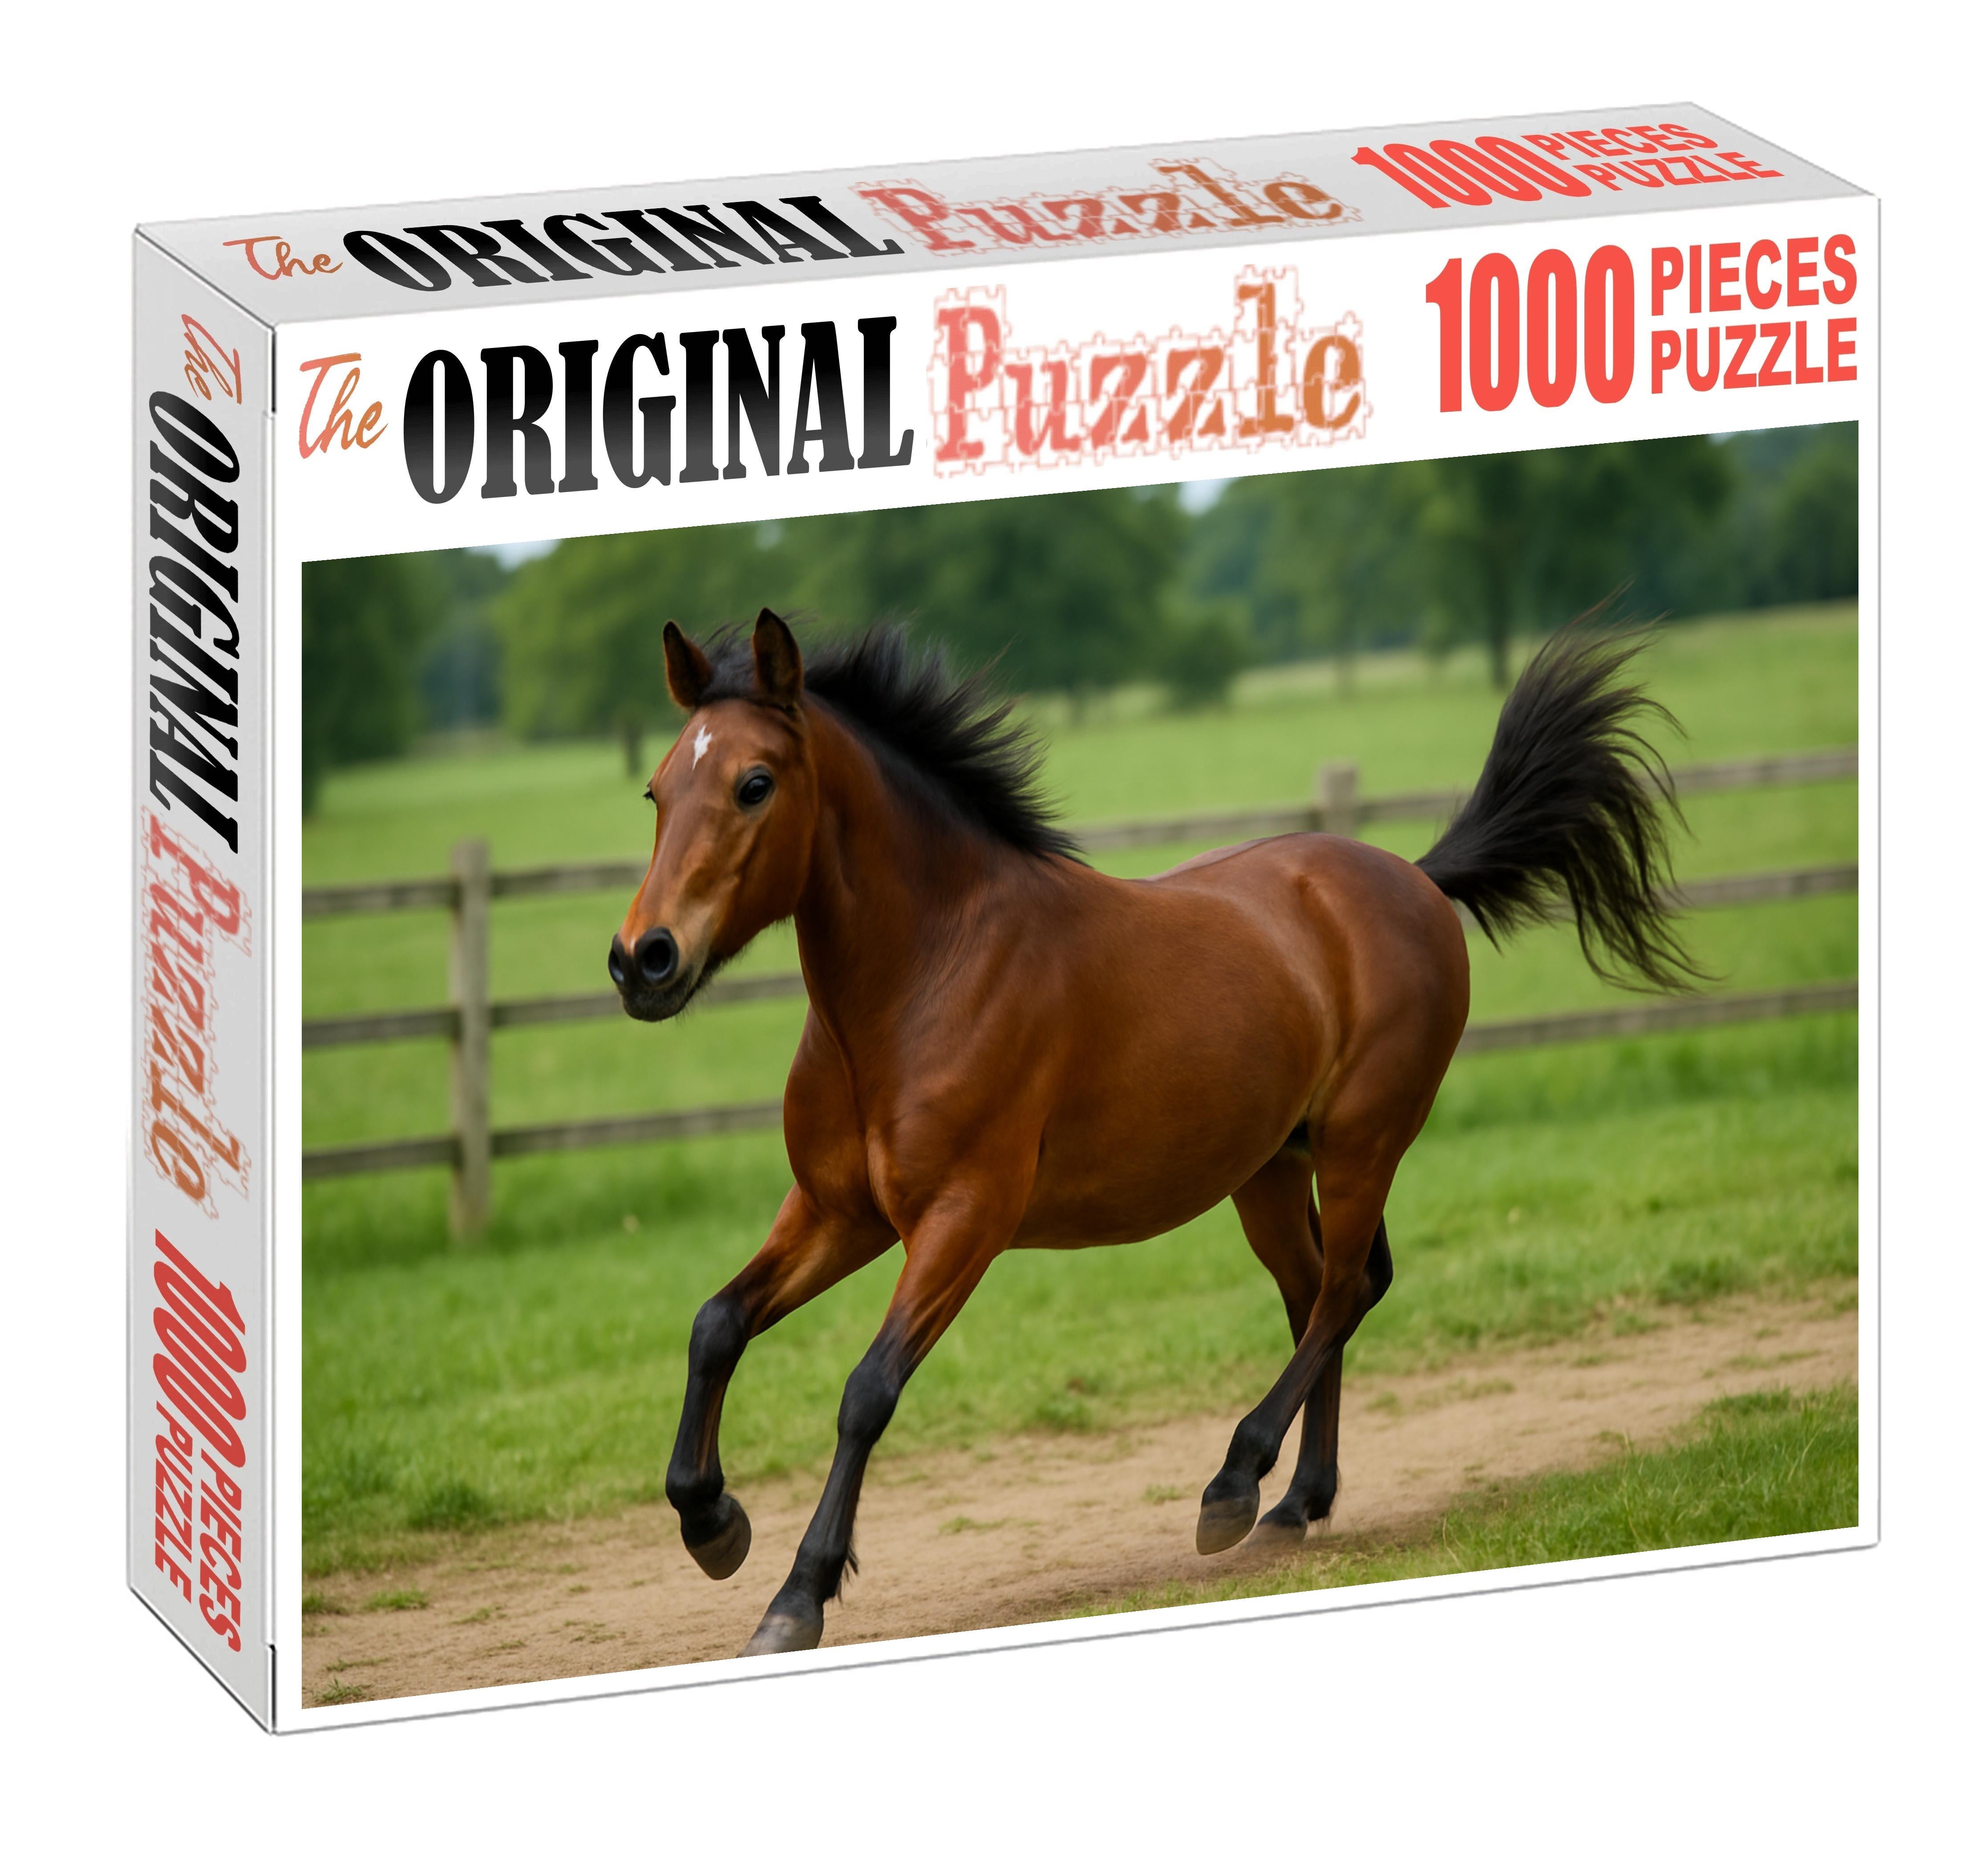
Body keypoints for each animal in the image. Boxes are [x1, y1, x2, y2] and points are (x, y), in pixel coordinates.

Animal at [609, 609, 1698, 1655]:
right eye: (658, 789)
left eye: (754, 784)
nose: (641, 961)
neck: (923, 978)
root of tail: (1416, 879)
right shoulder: (840, 1213)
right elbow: (716, 1323)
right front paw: (713, 1523)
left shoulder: (963, 1220)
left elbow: (866, 1390)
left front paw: (796, 1596)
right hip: (1269, 1169)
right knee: (1318, 1294)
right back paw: (1295, 1504)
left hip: (1362, 1143)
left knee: (1344, 1290)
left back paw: (1234, 1485)